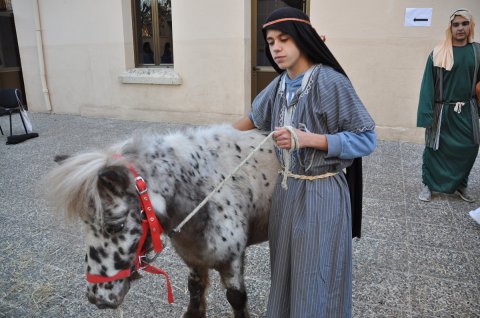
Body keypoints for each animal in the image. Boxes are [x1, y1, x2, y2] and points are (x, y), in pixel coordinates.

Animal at [44, 125, 280, 318]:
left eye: (116, 225)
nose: (97, 298)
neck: (210, 190)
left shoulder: (232, 260)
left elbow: (236, 298)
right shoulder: (194, 257)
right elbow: (195, 288)